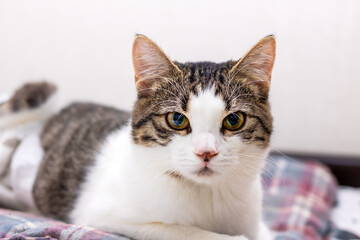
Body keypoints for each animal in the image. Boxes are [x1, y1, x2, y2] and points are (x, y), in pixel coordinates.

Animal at [0, 34, 276, 240]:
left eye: (233, 120)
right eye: (177, 120)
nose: (206, 152)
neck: (206, 193)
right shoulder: (99, 214)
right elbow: (181, 231)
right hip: (42, 94)